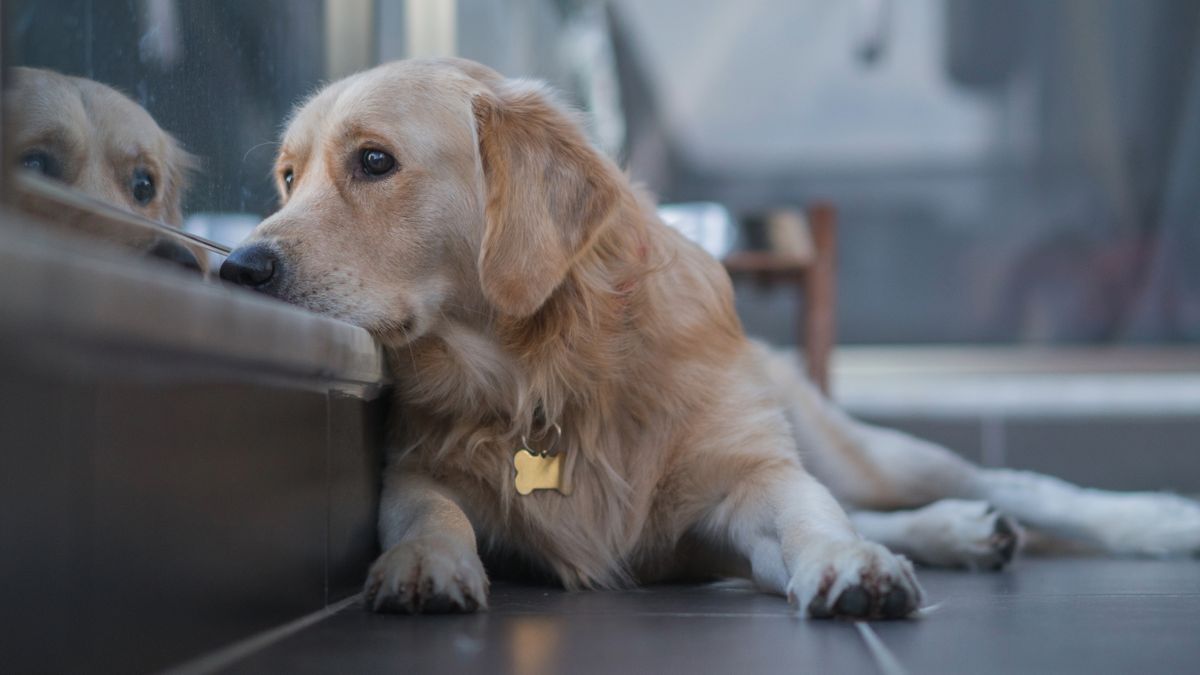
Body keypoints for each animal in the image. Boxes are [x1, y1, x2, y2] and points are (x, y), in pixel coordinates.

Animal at [218, 60, 1200, 619]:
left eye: (374, 161)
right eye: (288, 175)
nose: (237, 266)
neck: (545, 370)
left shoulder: (745, 477)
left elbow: (808, 514)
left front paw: (849, 563)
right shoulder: (417, 465)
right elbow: (430, 510)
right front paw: (423, 563)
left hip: (857, 447)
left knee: (1006, 483)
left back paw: (1148, 519)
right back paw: (958, 531)